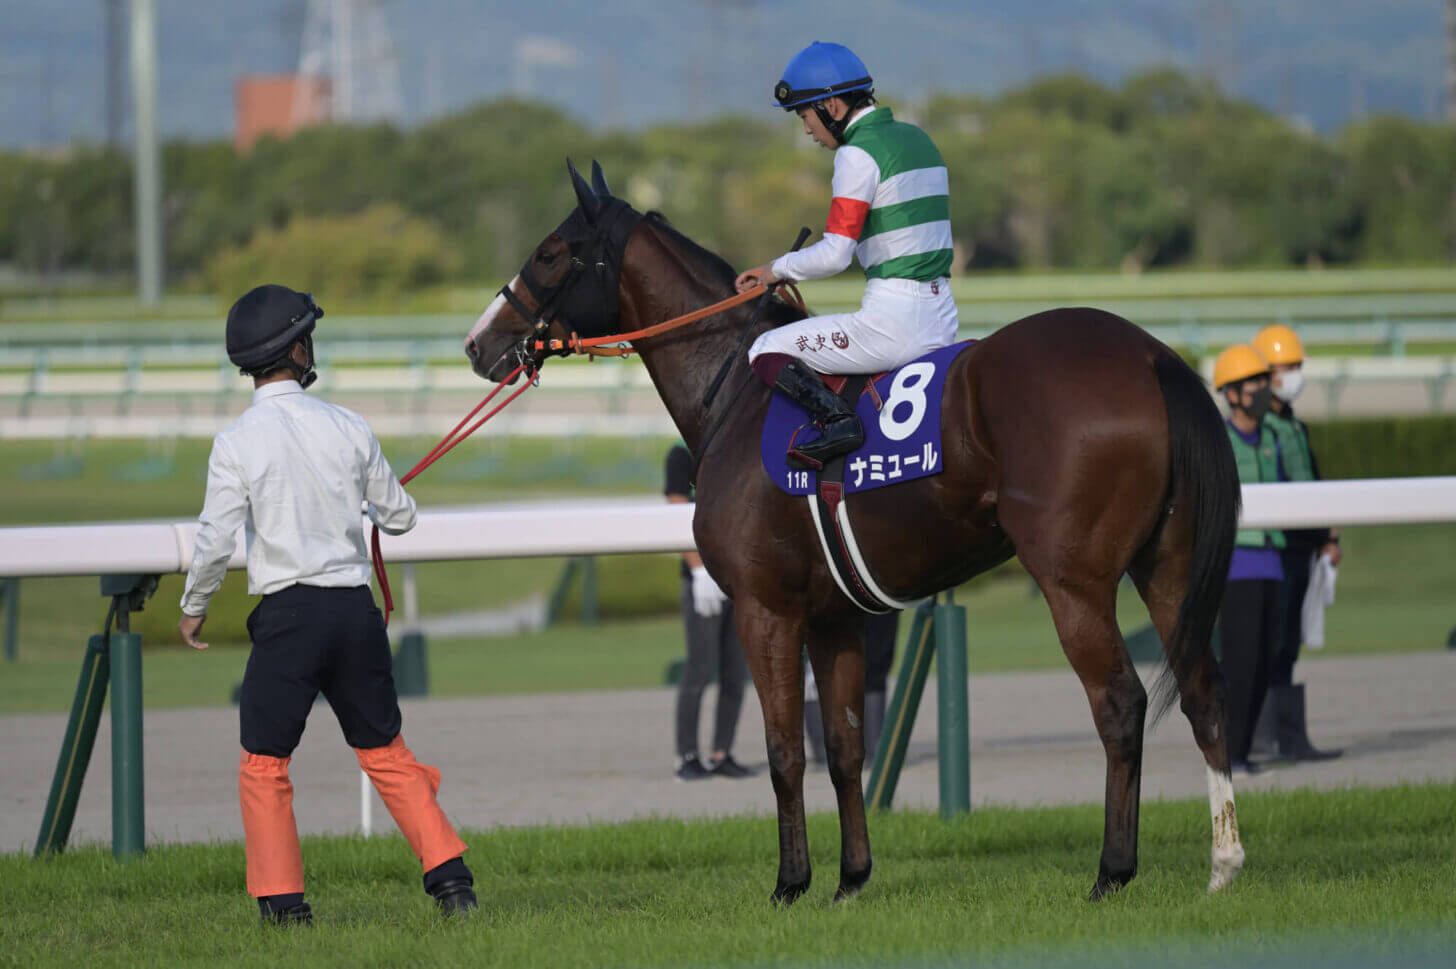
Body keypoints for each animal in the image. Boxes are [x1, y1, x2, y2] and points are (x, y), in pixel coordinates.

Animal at [460, 160, 1246, 907]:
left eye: (550, 252)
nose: (477, 342)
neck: (736, 398)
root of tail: (1151, 356)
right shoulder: (835, 615)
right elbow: (841, 745)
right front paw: (851, 878)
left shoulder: (765, 608)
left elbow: (784, 749)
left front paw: (790, 882)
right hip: (1166, 564)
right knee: (1203, 689)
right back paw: (1223, 863)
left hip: (1072, 580)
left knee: (1120, 703)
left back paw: (1113, 871)